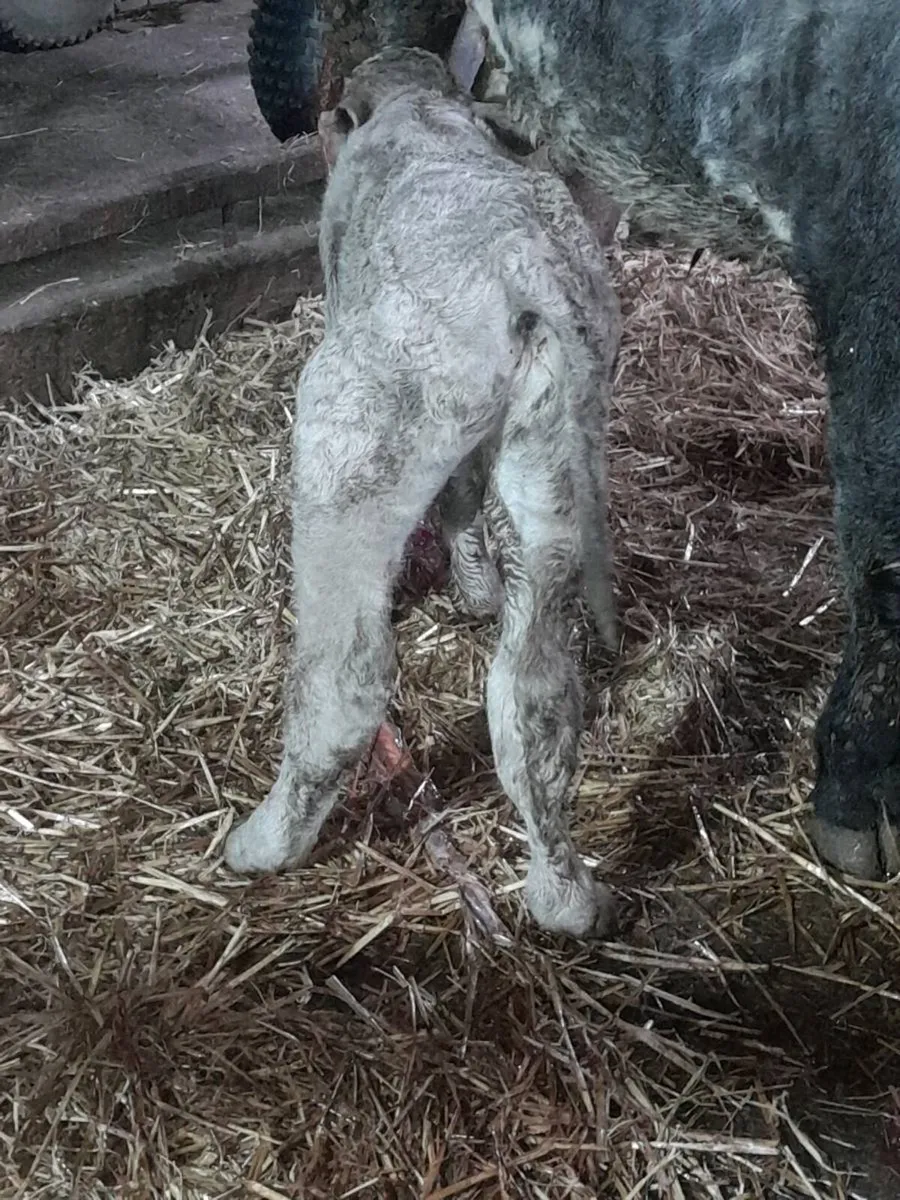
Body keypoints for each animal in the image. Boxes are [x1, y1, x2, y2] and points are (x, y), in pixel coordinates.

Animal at [224, 46, 622, 938]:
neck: (422, 111)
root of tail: (523, 275)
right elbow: (463, 502)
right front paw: (473, 587)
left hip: (351, 449)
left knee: (345, 684)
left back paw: (263, 844)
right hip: (552, 461)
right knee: (532, 698)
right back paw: (563, 897)